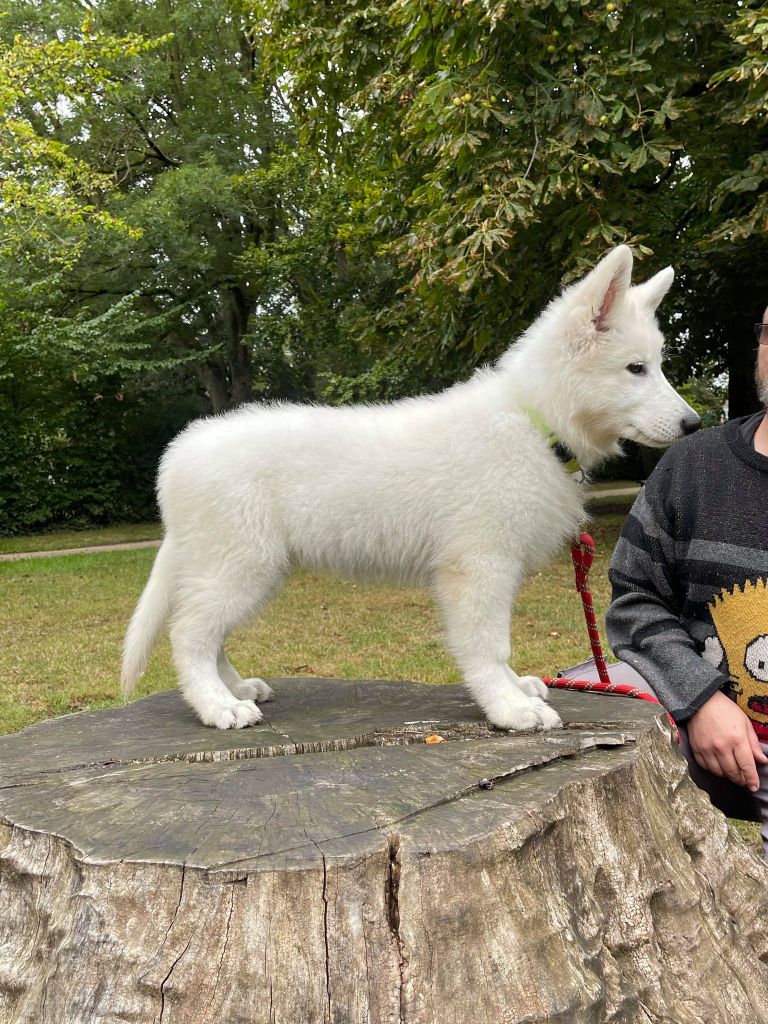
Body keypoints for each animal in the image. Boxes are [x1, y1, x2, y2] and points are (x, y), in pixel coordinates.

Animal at [123, 243, 700, 733]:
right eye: (635, 369)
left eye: (657, 366)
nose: (694, 425)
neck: (534, 420)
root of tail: (180, 454)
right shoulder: (479, 567)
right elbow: (488, 645)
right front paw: (509, 708)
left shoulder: (493, 568)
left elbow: (498, 646)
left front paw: (516, 691)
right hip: (240, 562)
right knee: (189, 634)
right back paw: (216, 705)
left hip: (245, 568)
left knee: (211, 633)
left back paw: (236, 688)